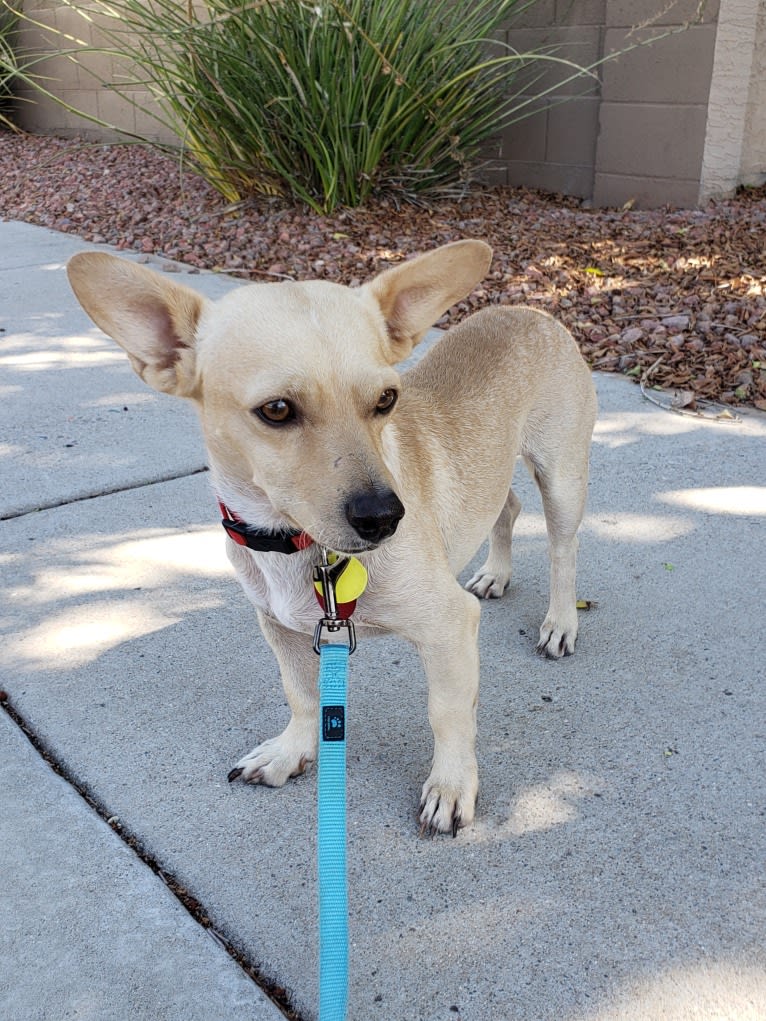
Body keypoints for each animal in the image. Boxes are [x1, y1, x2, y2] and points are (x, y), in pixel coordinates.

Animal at [67, 242, 600, 833]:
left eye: (387, 399)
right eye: (276, 410)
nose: (386, 517)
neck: (297, 544)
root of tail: (529, 311)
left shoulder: (448, 629)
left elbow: (448, 714)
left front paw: (452, 785)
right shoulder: (281, 627)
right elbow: (300, 694)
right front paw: (292, 751)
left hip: (562, 478)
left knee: (562, 550)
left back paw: (560, 622)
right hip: (496, 471)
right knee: (506, 508)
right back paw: (496, 572)